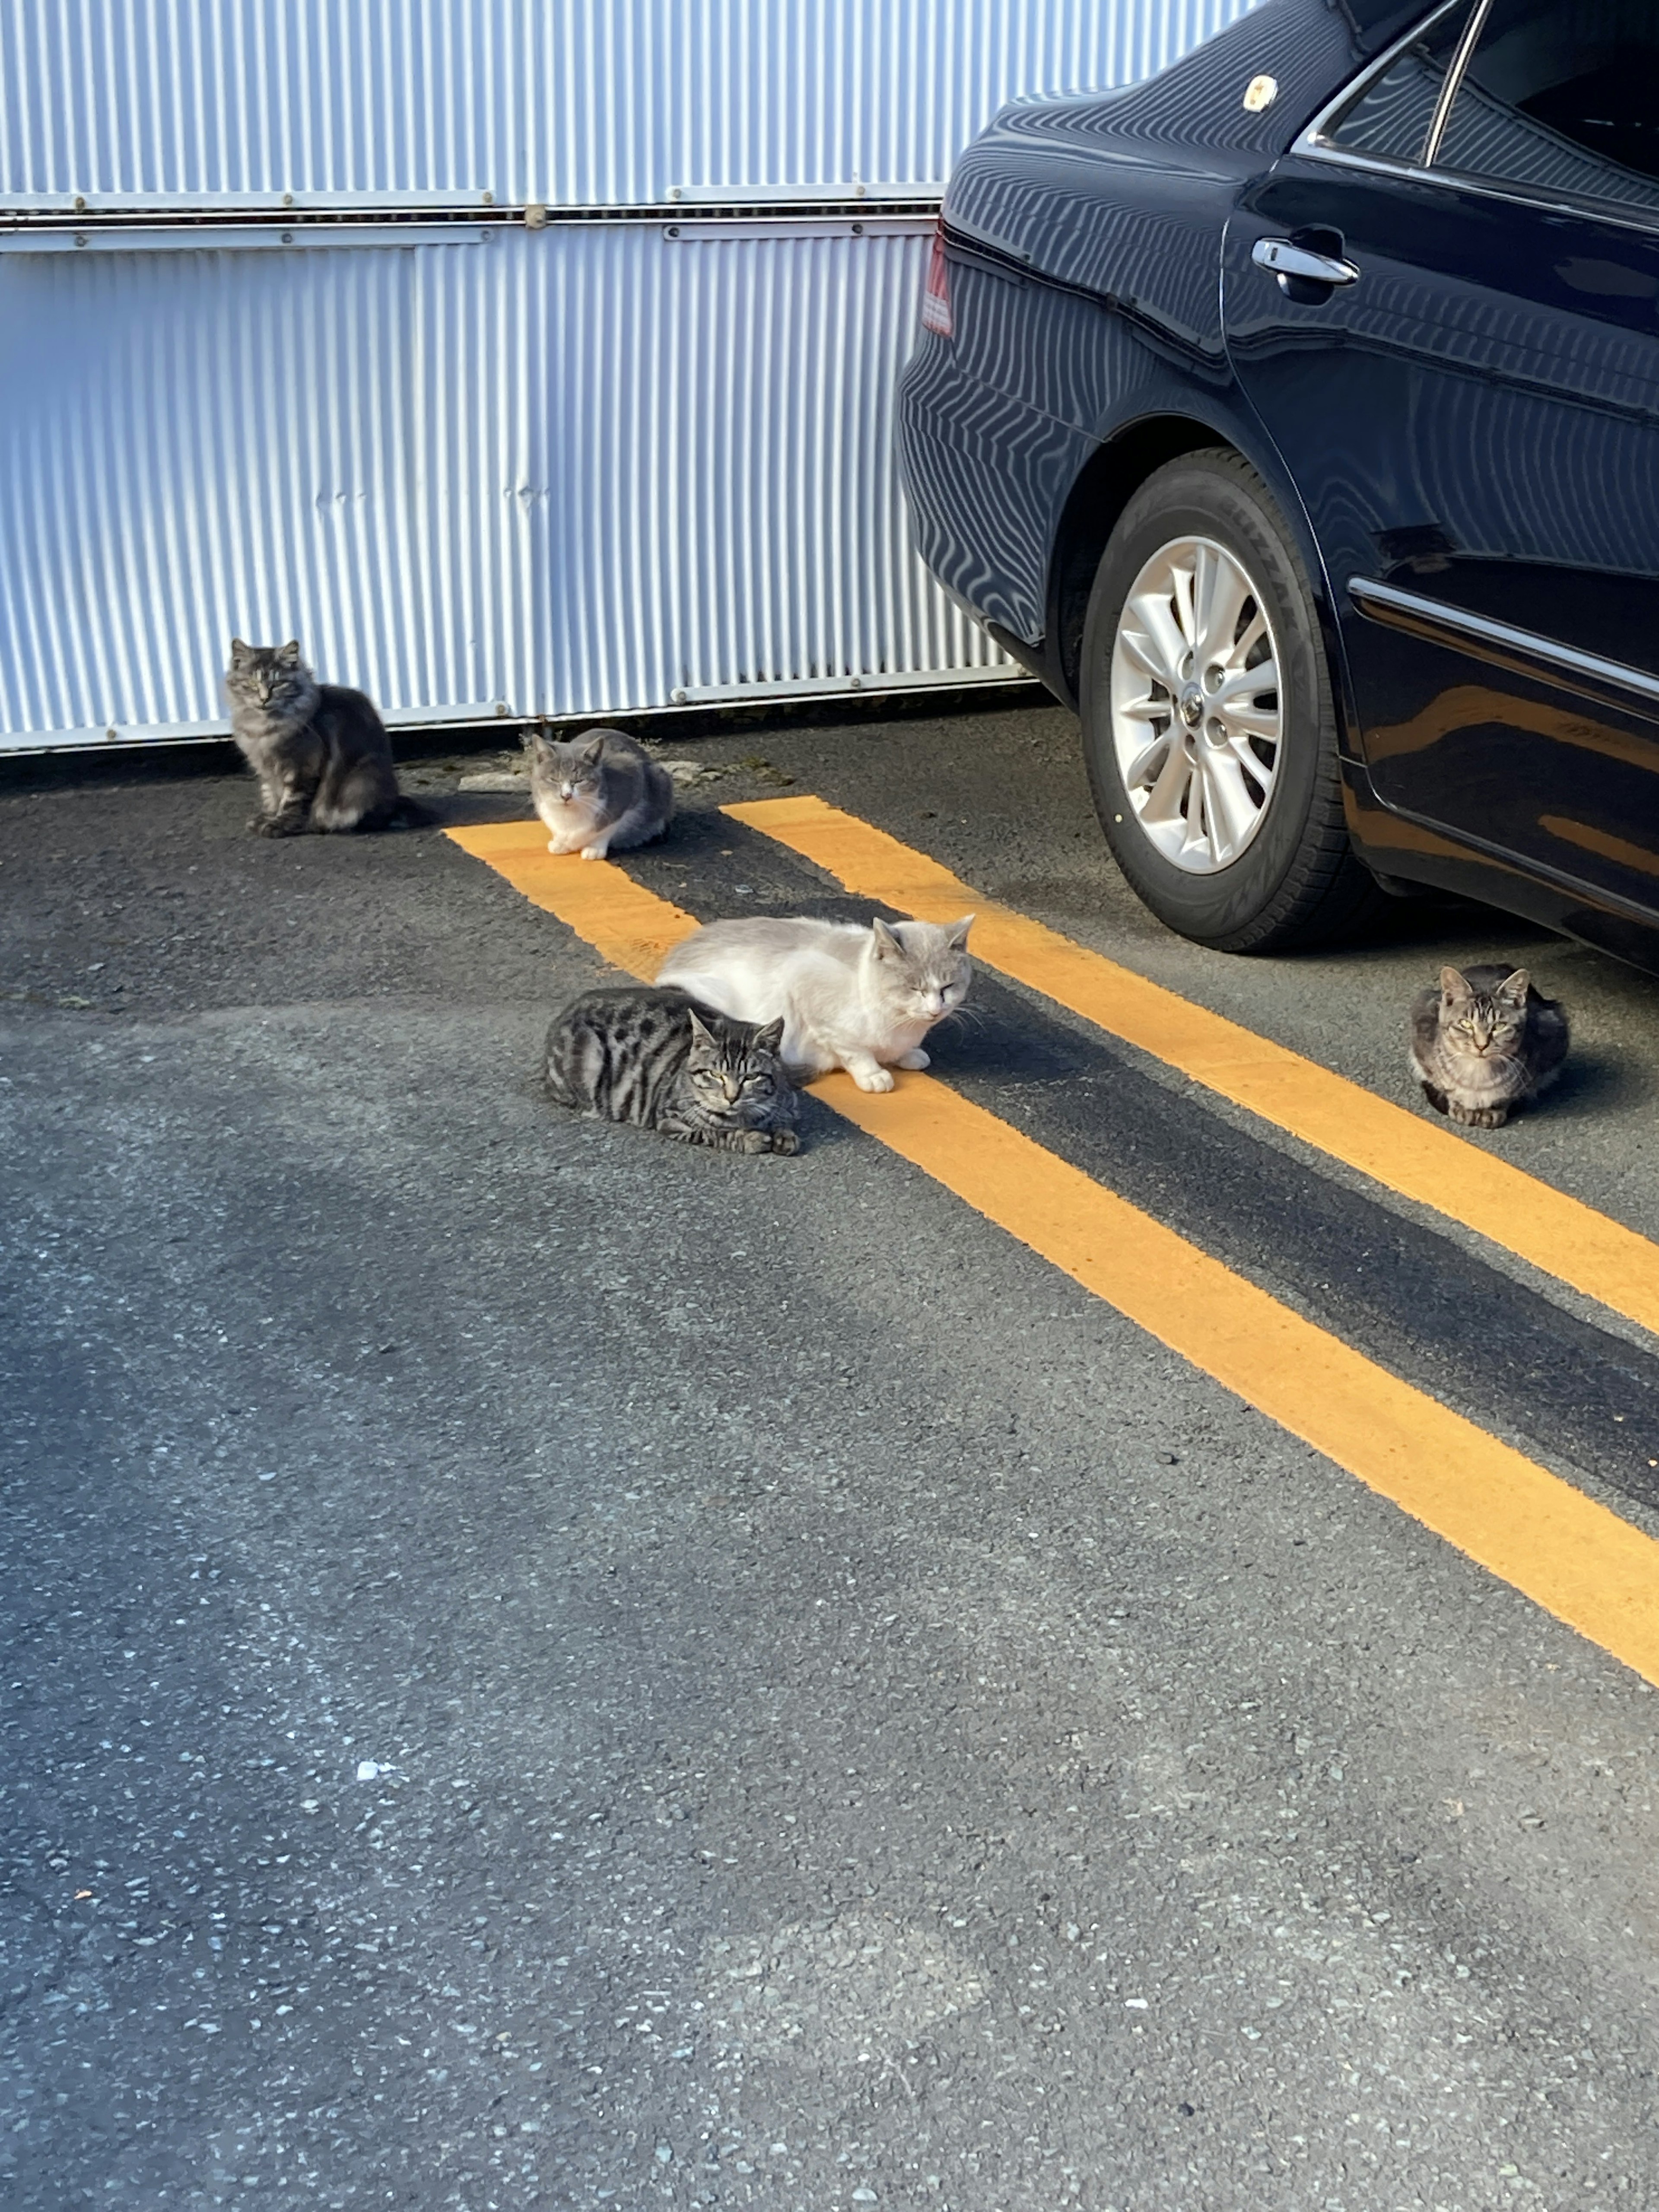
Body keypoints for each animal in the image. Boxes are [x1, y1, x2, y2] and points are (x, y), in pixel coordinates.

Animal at [222, 646, 422, 845]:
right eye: (252, 684)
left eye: (278, 684)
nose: (264, 699)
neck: (264, 727)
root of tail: (394, 804)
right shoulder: (266, 768)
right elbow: (271, 795)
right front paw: (266, 818)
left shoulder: (302, 766)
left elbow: (292, 801)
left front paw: (279, 826)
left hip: (362, 780)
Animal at [522, 730, 672, 858]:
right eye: (554, 780)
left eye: (579, 781)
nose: (566, 796)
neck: (569, 815)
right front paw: (561, 843)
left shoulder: (630, 784)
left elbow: (609, 828)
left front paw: (594, 848)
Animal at [546, 986, 805, 1159]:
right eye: (715, 1075)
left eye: (751, 1077)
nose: (732, 1098)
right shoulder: (671, 1119)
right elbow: (713, 1132)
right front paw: (749, 1138)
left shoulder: (789, 1103)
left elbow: (786, 1119)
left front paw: (784, 1134)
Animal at [655, 911, 973, 1093]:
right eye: (914, 988)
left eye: (948, 987)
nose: (935, 1010)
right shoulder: (806, 980)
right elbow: (854, 1051)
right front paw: (873, 1074)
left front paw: (907, 1054)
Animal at [1407, 964, 1575, 1132]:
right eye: (1466, 1024)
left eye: (1499, 1026)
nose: (1481, 1045)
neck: (1478, 1076)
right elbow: (1445, 1087)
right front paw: (1461, 1106)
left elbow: (1511, 1094)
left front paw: (1494, 1110)